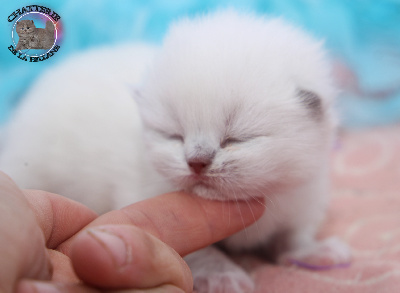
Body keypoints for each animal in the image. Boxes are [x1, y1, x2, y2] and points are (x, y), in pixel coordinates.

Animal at [0, 10, 350, 292]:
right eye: (174, 135)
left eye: (235, 139)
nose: (196, 162)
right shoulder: (144, 193)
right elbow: (200, 249)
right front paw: (222, 274)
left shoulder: (303, 192)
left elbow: (294, 234)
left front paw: (312, 251)